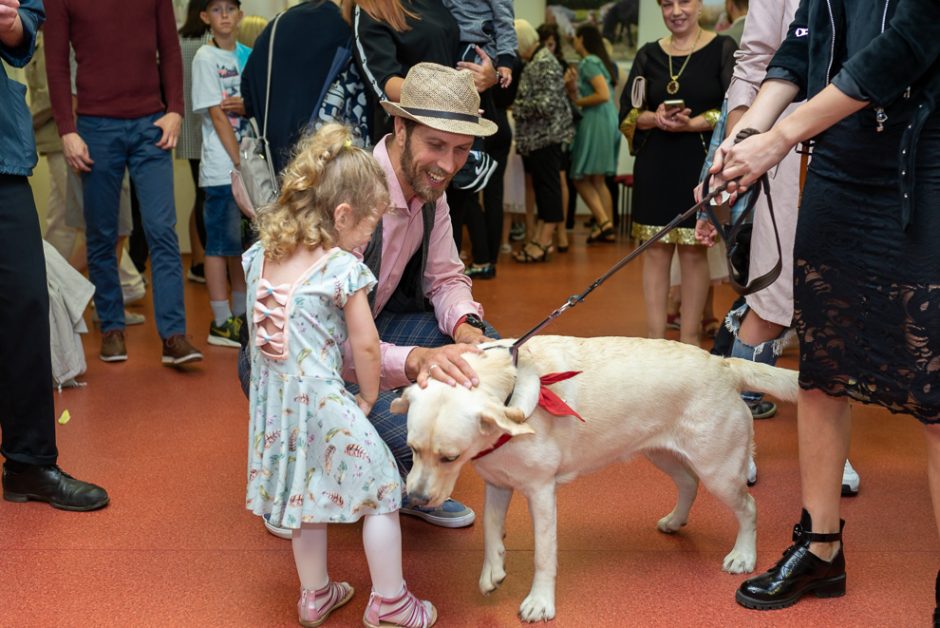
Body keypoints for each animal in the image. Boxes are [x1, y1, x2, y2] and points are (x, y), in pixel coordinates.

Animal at [390, 336, 800, 620]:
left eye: (449, 457)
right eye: (412, 449)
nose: (417, 498)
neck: (508, 397)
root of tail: (724, 364)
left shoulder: (541, 492)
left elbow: (543, 555)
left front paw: (540, 602)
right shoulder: (498, 483)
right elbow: (491, 533)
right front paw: (493, 571)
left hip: (719, 470)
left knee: (748, 508)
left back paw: (743, 555)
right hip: (662, 453)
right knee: (688, 483)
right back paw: (675, 520)